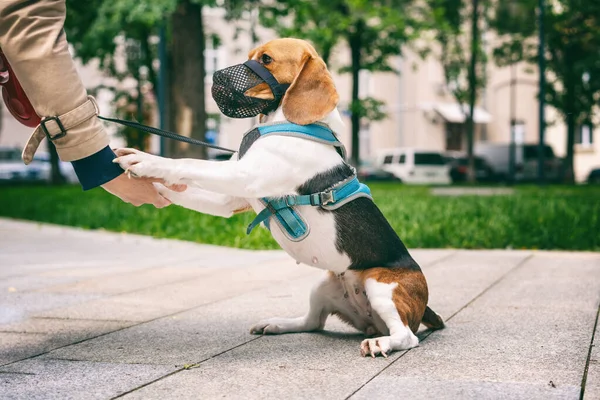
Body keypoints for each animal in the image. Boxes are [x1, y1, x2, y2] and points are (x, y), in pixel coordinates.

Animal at [115, 38, 442, 356]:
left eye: (266, 59)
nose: (215, 75)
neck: (285, 124)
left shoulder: (244, 175)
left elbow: (187, 164)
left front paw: (147, 161)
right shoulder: (231, 198)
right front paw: (149, 185)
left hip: (380, 285)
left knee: (406, 336)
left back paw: (381, 343)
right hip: (323, 286)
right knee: (312, 323)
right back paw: (278, 323)